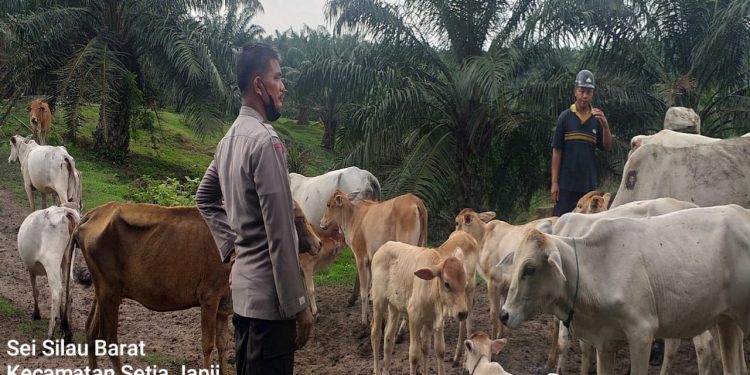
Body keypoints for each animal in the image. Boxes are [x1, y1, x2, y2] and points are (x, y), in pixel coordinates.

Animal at [17, 206, 81, 340]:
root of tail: (65, 211)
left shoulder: (31, 269)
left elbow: (35, 291)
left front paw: (36, 314)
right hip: (68, 256)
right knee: (69, 287)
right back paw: (68, 331)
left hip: (51, 260)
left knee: (57, 291)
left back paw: (50, 335)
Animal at [63, 203, 322, 375]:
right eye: (298, 219)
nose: (319, 243)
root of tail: (94, 214)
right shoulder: (209, 297)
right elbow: (207, 344)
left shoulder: (223, 304)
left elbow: (222, 343)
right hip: (110, 293)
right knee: (109, 339)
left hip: (104, 291)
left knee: (91, 330)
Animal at [322, 189, 428, 334]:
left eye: (328, 204)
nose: (322, 223)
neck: (353, 217)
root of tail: (415, 201)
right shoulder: (371, 260)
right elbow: (372, 291)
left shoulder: (361, 259)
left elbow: (364, 291)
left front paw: (364, 322)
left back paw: (401, 329)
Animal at [502, 206, 750, 375]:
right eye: (515, 263)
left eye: (530, 268)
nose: (504, 315)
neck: (597, 266)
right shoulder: (605, 343)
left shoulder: (642, 333)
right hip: (725, 321)